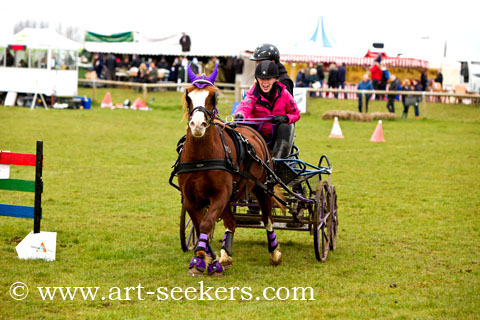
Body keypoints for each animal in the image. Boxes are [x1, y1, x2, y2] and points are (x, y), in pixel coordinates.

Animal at [175, 63, 282, 276]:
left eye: (213, 96)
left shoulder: (220, 194)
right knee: (231, 222)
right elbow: (200, 226)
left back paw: (274, 253)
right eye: (188, 95)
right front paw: (209, 258)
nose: (197, 125)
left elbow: (206, 223)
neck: (201, 158)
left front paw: (200, 260)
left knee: (267, 218)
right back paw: (225, 256)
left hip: (263, 188)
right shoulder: (190, 199)